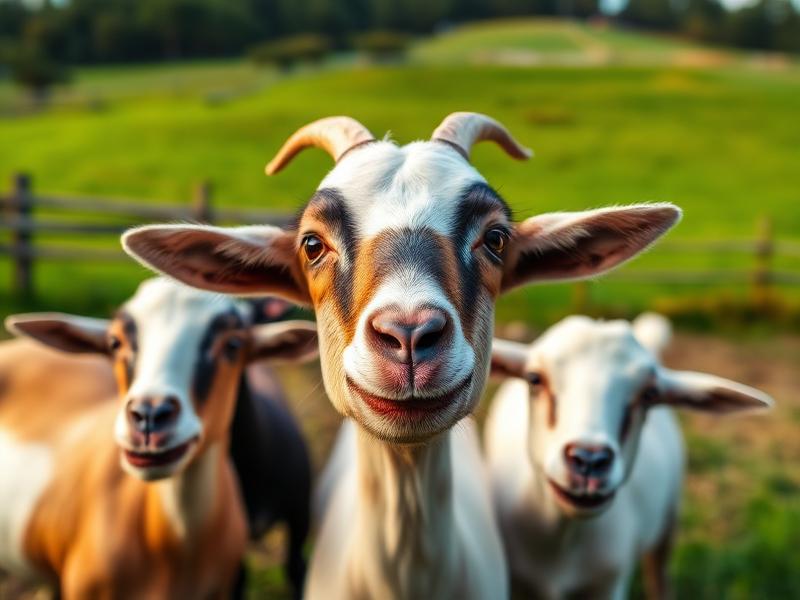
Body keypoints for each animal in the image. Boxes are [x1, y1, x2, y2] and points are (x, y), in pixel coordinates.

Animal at [485, 313, 773, 599]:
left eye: (649, 394)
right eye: (534, 378)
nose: (589, 460)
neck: (565, 539)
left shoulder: (611, 583)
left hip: (669, 516)